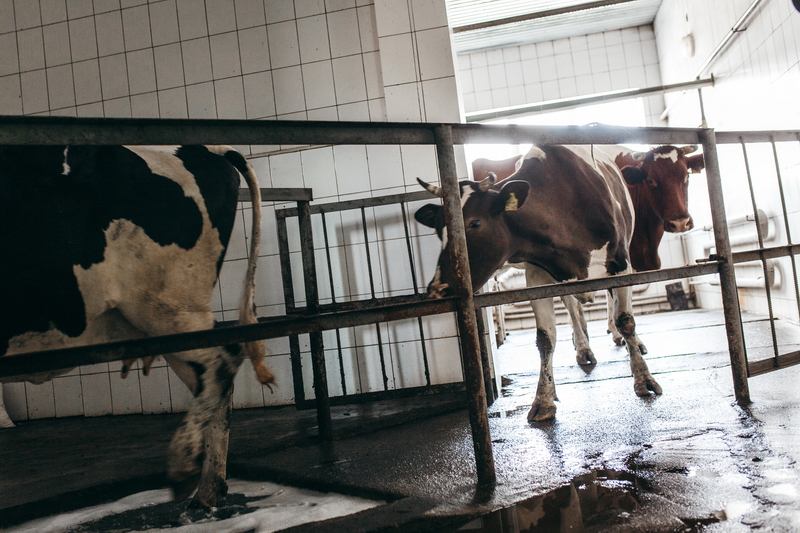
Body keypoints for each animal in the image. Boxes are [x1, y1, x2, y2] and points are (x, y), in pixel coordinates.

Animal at [415, 145, 660, 422]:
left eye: (475, 223)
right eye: (438, 229)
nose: (437, 289)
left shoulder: (621, 264)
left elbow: (625, 320)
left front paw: (644, 378)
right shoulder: (538, 276)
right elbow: (545, 338)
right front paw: (543, 400)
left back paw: (633, 345)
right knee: (572, 308)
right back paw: (583, 348)